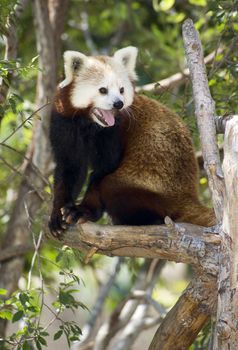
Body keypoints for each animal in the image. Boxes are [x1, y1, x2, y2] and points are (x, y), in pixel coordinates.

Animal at [48, 46, 216, 237]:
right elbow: (70, 167)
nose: (118, 104)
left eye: (121, 90)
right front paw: (58, 213)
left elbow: (103, 170)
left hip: (154, 190)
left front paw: (83, 211)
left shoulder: (114, 132)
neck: (89, 123)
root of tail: (189, 198)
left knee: (111, 186)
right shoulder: (64, 122)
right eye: (103, 90)